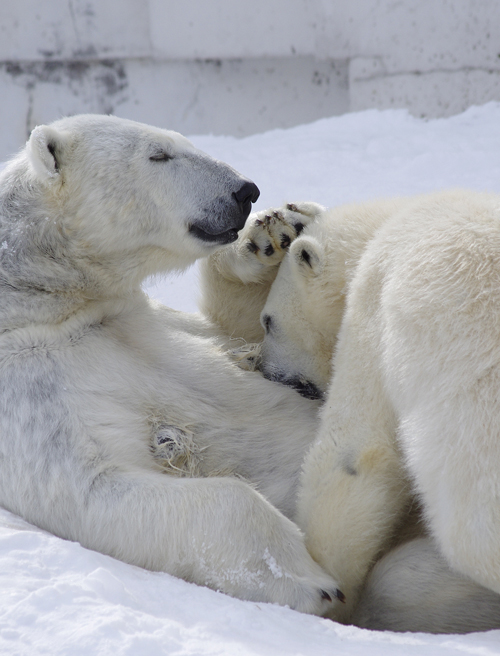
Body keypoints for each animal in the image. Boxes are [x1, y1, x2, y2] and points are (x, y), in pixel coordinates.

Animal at [0, 114, 344, 616]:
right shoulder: (34, 394)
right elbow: (98, 487)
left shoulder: (144, 317)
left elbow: (256, 340)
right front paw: (310, 581)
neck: (39, 304)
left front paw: (275, 233)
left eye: (183, 141)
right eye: (158, 154)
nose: (245, 191)